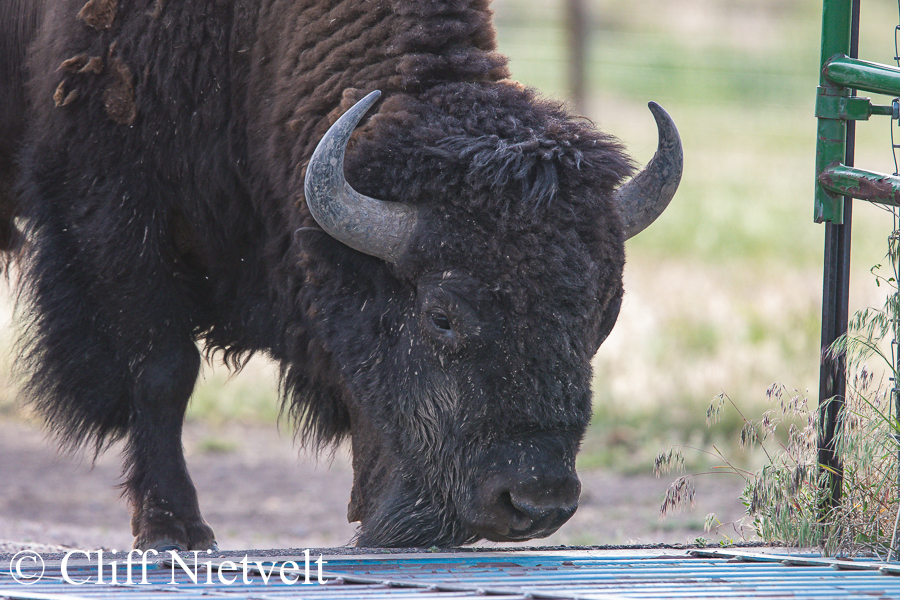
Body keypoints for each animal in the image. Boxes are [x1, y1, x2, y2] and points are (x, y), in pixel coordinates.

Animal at [0, 0, 682, 550]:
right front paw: (175, 530)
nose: (536, 505)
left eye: (604, 313)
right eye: (441, 315)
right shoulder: (114, 218)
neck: (246, 40)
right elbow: (163, 372)